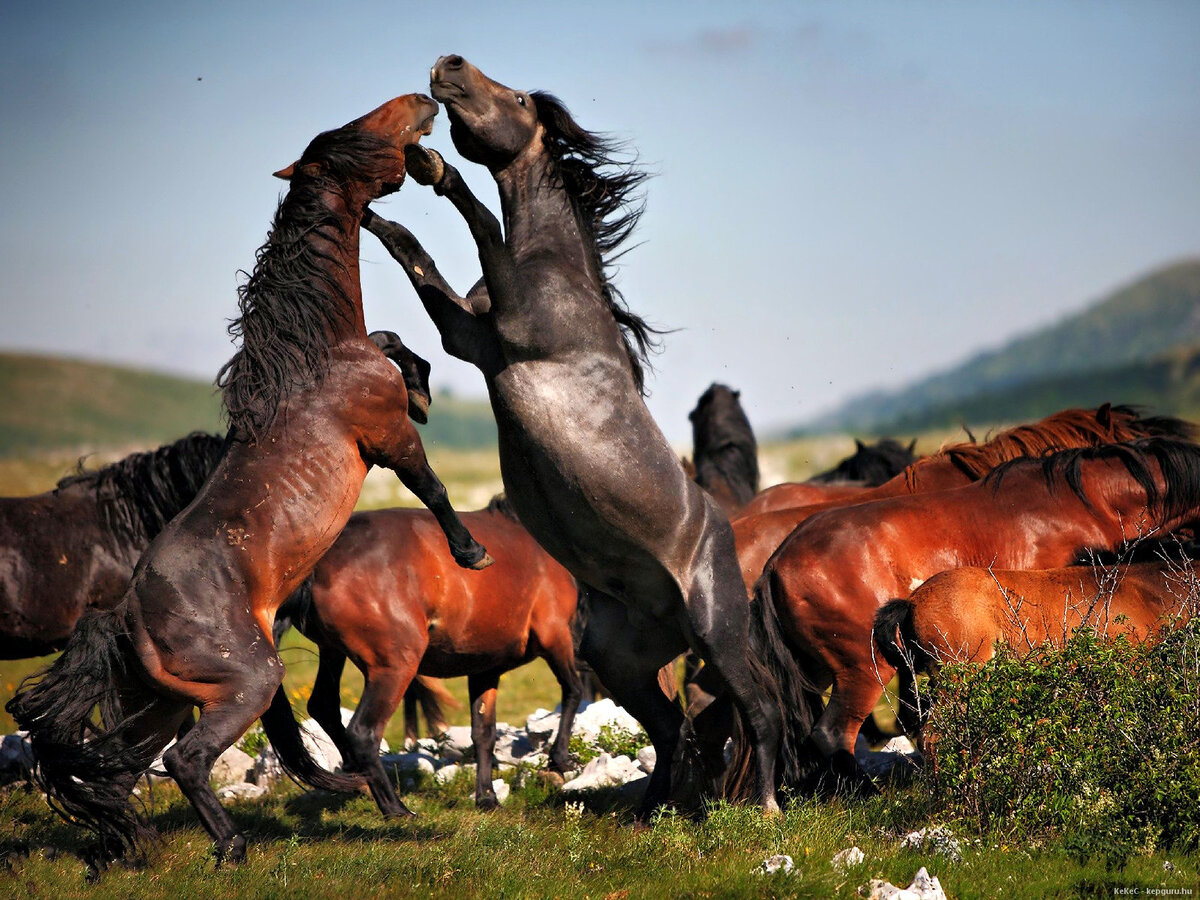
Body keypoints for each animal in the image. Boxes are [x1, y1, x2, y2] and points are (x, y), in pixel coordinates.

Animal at [360, 54, 782, 816]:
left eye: (520, 99)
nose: (448, 64)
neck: (556, 267)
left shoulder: (510, 326)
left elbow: (479, 223)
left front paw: (435, 169)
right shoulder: (471, 338)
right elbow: (414, 257)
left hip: (717, 633)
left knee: (757, 711)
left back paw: (764, 805)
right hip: (622, 660)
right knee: (672, 729)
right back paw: (648, 813)